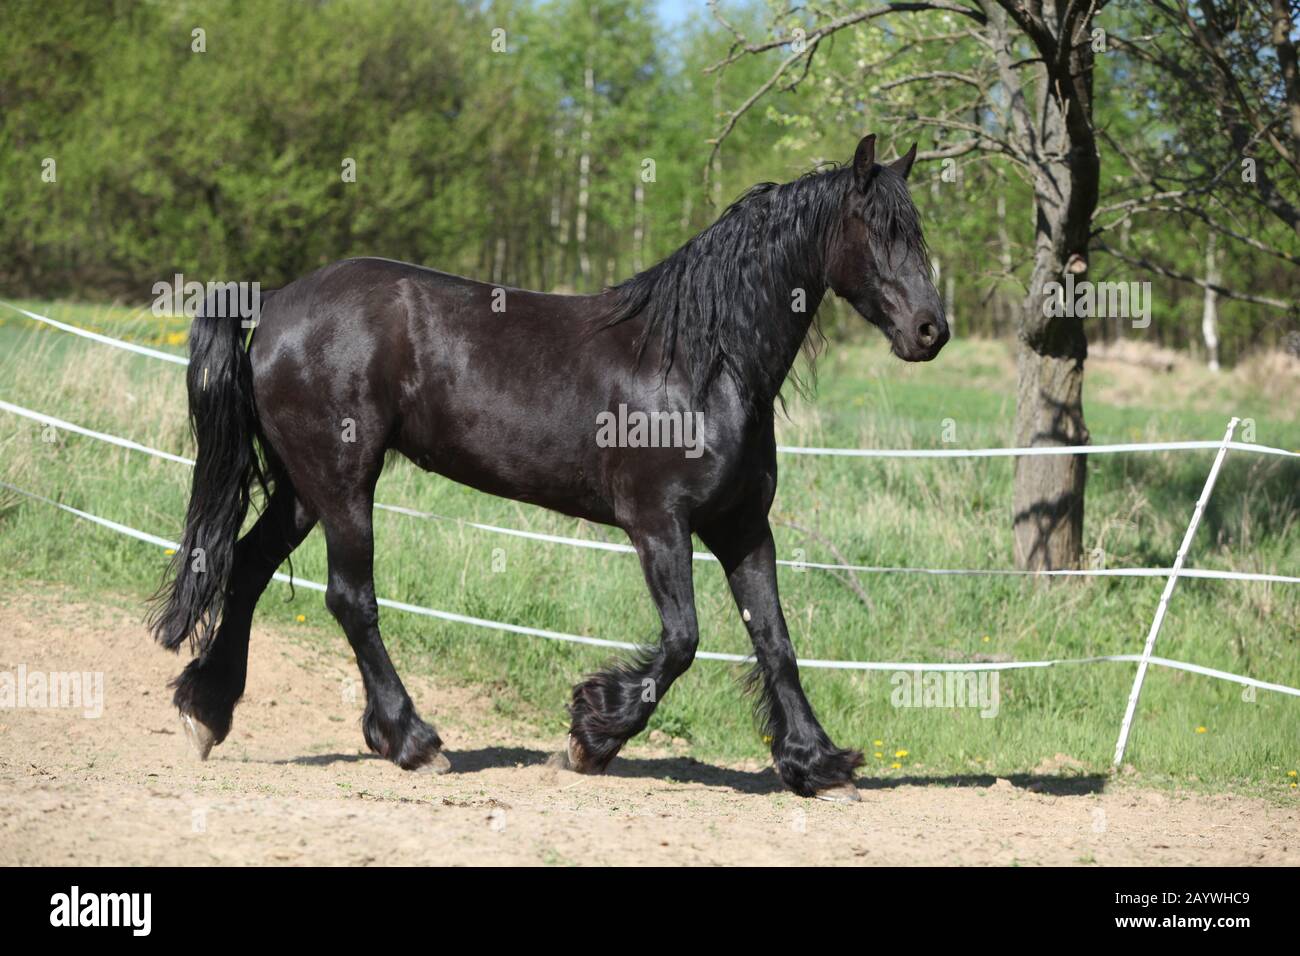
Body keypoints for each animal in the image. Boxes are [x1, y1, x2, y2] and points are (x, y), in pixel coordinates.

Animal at [150, 133, 948, 801]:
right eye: (878, 230)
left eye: (917, 231)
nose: (930, 331)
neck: (704, 364)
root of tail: (273, 303)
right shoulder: (658, 524)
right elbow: (683, 640)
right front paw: (590, 736)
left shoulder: (743, 528)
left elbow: (775, 642)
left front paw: (819, 764)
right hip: (344, 484)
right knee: (351, 599)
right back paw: (413, 741)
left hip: (303, 487)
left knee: (248, 568)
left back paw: (205, 712)